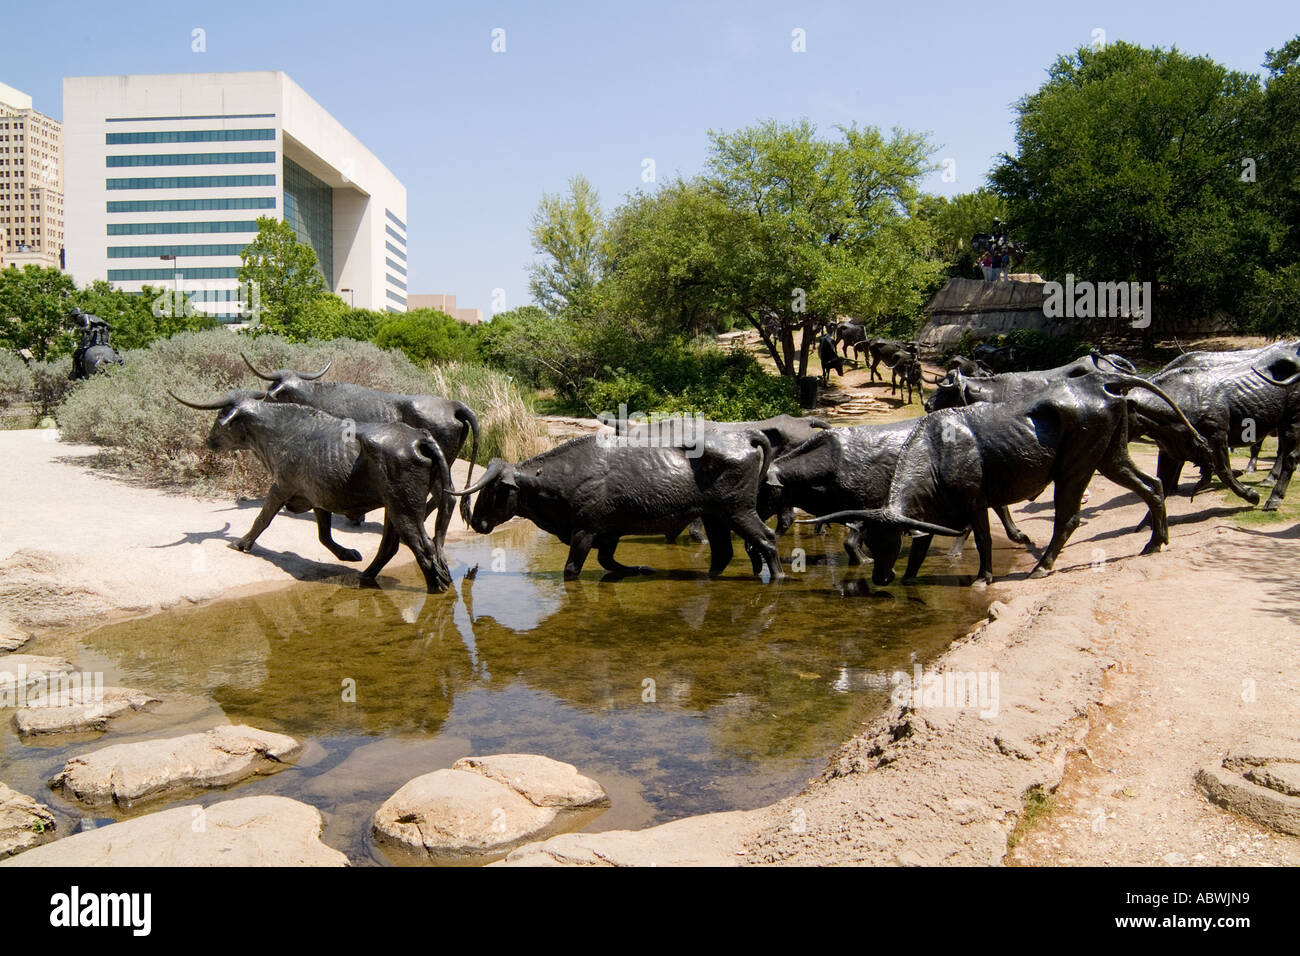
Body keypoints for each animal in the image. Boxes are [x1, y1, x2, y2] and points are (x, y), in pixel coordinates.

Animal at [169, 389, 454, 593]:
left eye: (221, 418)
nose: (208, 441)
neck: (279, 431)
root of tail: (420, 438)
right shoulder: (319, 498)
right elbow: (324, 536)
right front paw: (347, 554)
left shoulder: (281, 488)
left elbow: (262, 519)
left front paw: (242, 543)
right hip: (393, 508)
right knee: (390, 546)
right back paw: (366, 576)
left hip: (404, 508)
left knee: (424, 547)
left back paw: (436, 587)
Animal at [448, 432, 783, 582]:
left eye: (492, 490)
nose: (476, 522)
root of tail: (742, 436)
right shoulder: (609, 534)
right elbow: (609, 562)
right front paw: (642, 568)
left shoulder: (584, 531)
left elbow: (572, 569)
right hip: (715, 516)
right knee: (723, 551)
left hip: (738, 511)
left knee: (766, 539)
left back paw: (778, 578)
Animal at [806, 372, 1211, 586]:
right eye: (871, 542)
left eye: (890, 542)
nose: (880, 579)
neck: (937, 447)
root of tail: (1099, 383)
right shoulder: (931, 511)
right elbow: (922, 546)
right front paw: (908, 579)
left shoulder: (975, 500)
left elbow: (982, 537)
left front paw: (983, 576)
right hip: (1112, 457)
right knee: (1154, 487)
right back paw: (1155, 542)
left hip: (1075, 468)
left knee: (1069, 518)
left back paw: (1042, 566)